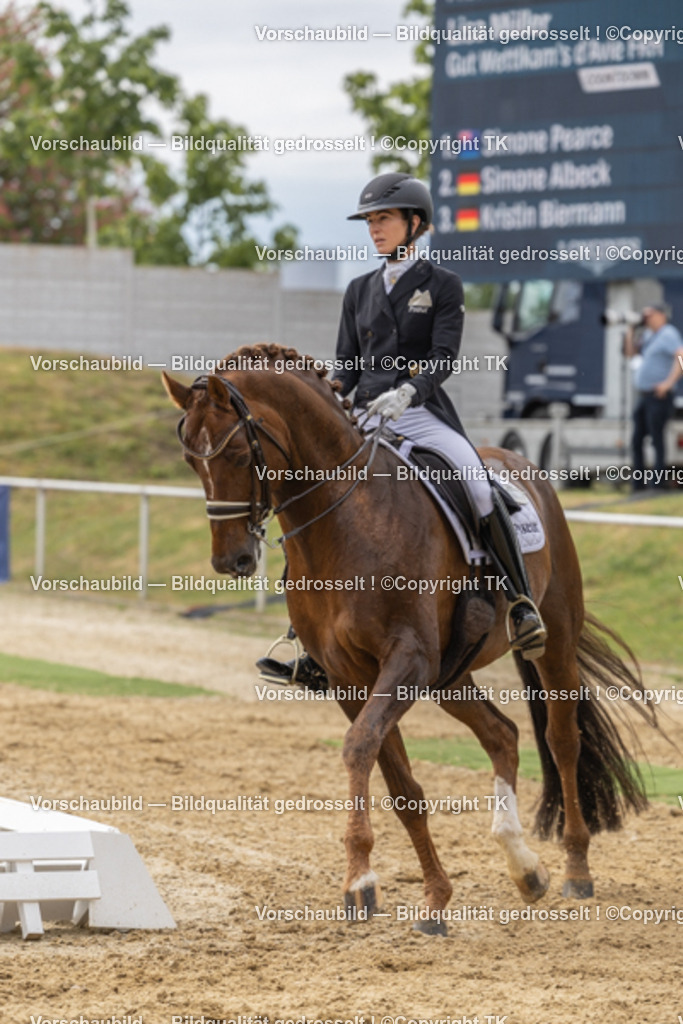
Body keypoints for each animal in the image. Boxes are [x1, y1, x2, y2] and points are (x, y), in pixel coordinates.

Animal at [163, 342, 654, 935]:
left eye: (236, 453)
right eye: (191, 461)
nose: (230, 560)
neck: (343, 520)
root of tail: (522, 465)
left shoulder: (407, 662)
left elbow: (358, 749)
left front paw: (359, 882)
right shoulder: (352, 677)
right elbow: (401, 787)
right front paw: (434, 898)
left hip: (551, 642)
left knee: (562, 741)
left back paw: (575, 869)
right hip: (451, 674)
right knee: (503, 734)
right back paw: (524, 867)